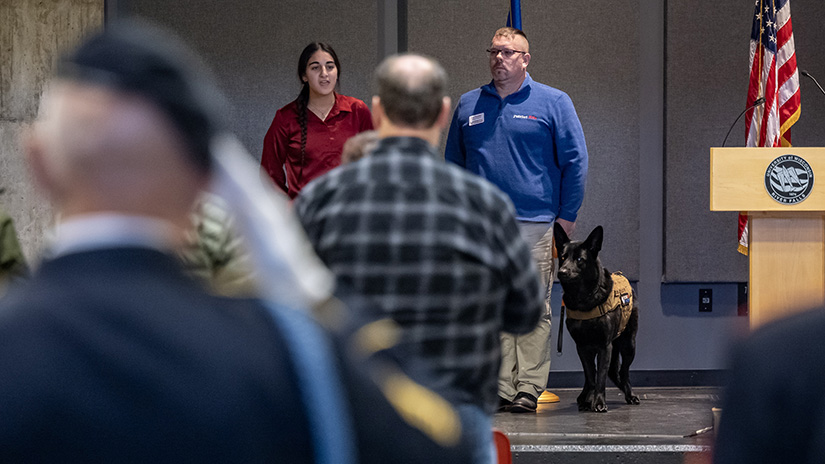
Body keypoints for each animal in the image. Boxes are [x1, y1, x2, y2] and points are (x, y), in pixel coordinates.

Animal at [552, 225, 636, 414]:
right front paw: (588, 400)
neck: (583, 299)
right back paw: (584, 397)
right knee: (605, 372)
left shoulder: (605, 346)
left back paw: (630, 394)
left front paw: (598, 402)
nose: (562, 272)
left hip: (629, 344)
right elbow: (591, 375)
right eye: (563, 257)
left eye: (579, 259)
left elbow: (600, 377)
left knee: (623, 372)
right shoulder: (582, 346)